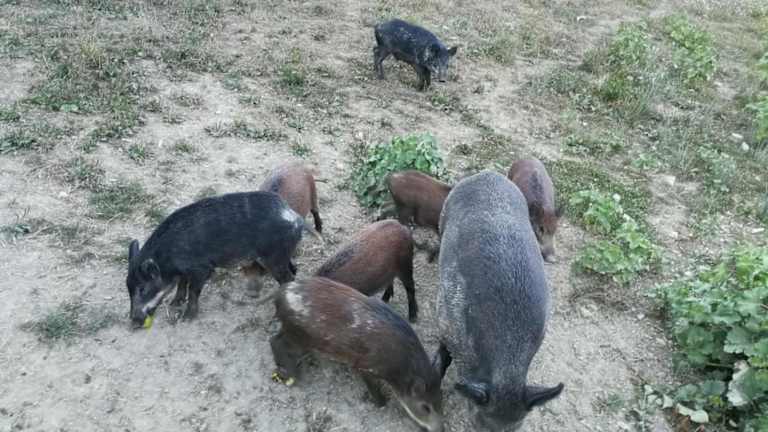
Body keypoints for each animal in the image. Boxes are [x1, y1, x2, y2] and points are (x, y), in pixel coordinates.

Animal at [126, 191, 304, 328]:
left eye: (142, 288)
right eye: (128, 287)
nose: (134, 323)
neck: (168, 258)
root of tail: (294, 216)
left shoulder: (202, 269)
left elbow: (193, 290)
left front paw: (186, 319)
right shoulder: (186, 270)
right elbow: (182, 284)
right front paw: (174, 304)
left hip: (274, 258)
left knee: (288, 278)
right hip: (280, 257)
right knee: (293, 269)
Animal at [270, 276, 443, 432]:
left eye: (440, 402)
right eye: (425, 407)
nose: (440, 429)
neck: (402, 365)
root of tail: (279, 293)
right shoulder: (365, 367)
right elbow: (373, 388)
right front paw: (382, 403)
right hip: (298, 336)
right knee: (275, 342)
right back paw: (291, 376)